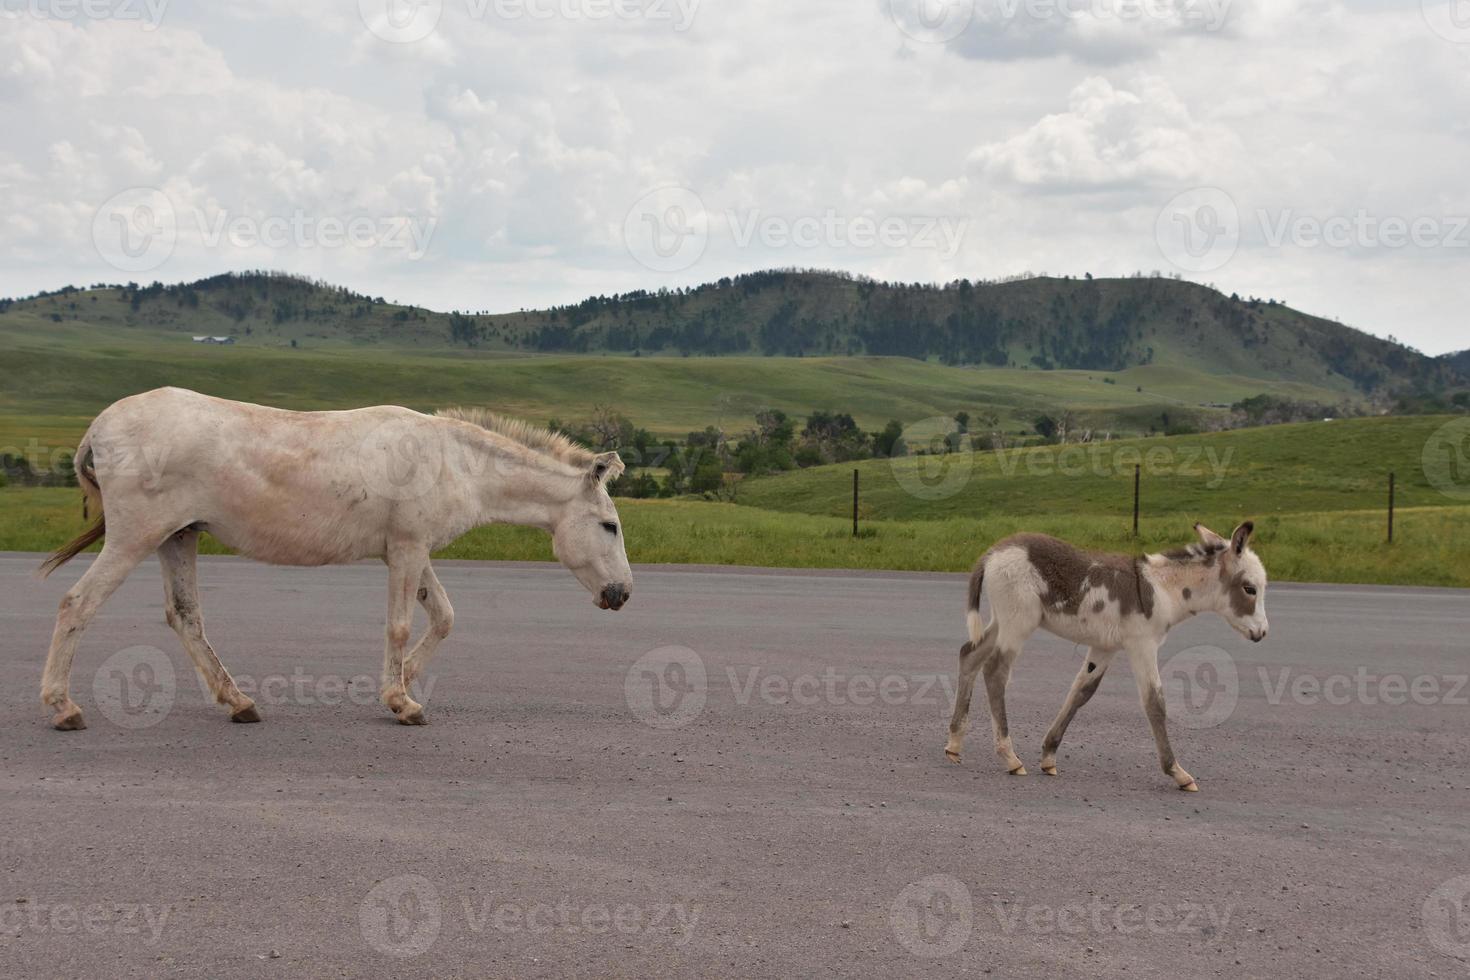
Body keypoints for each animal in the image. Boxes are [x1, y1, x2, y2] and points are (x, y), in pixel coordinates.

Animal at [946, 525, 1270, 793]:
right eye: (1250, 589)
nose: (1263, 633)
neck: (1164, 589)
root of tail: (993, 552)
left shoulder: (1105, 648)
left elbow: (1081, 692)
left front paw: (1049, 755)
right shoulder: (1142, 645)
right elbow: (1155, 702)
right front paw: (1177, 773)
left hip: (1001, 622)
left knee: (969, 655)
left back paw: (954, 744)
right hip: (1018, 623)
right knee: (995, 671)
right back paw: (1010, 757)